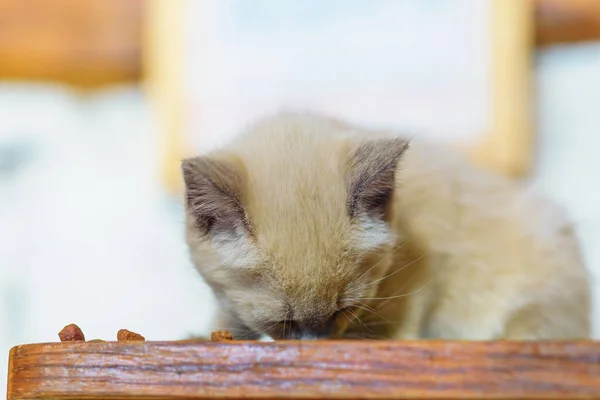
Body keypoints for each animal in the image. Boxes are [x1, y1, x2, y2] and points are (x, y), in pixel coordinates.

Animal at [182, 112, 592, 340]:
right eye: (283, 322)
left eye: (342, 312)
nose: (315, 342)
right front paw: (206, 334)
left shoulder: (423, 269)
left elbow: (402, 320)